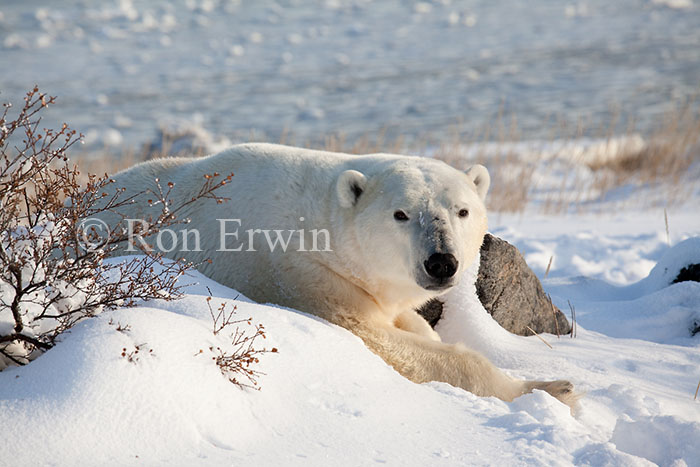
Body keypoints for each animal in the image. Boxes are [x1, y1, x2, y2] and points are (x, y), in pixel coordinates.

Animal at [96, 143, 577, 408]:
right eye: (401, 214)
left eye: (462, 210)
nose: (441, 262)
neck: (316, 223)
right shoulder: (305, 278)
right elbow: (381, 341)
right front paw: (557, 389)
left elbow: (413, 324)